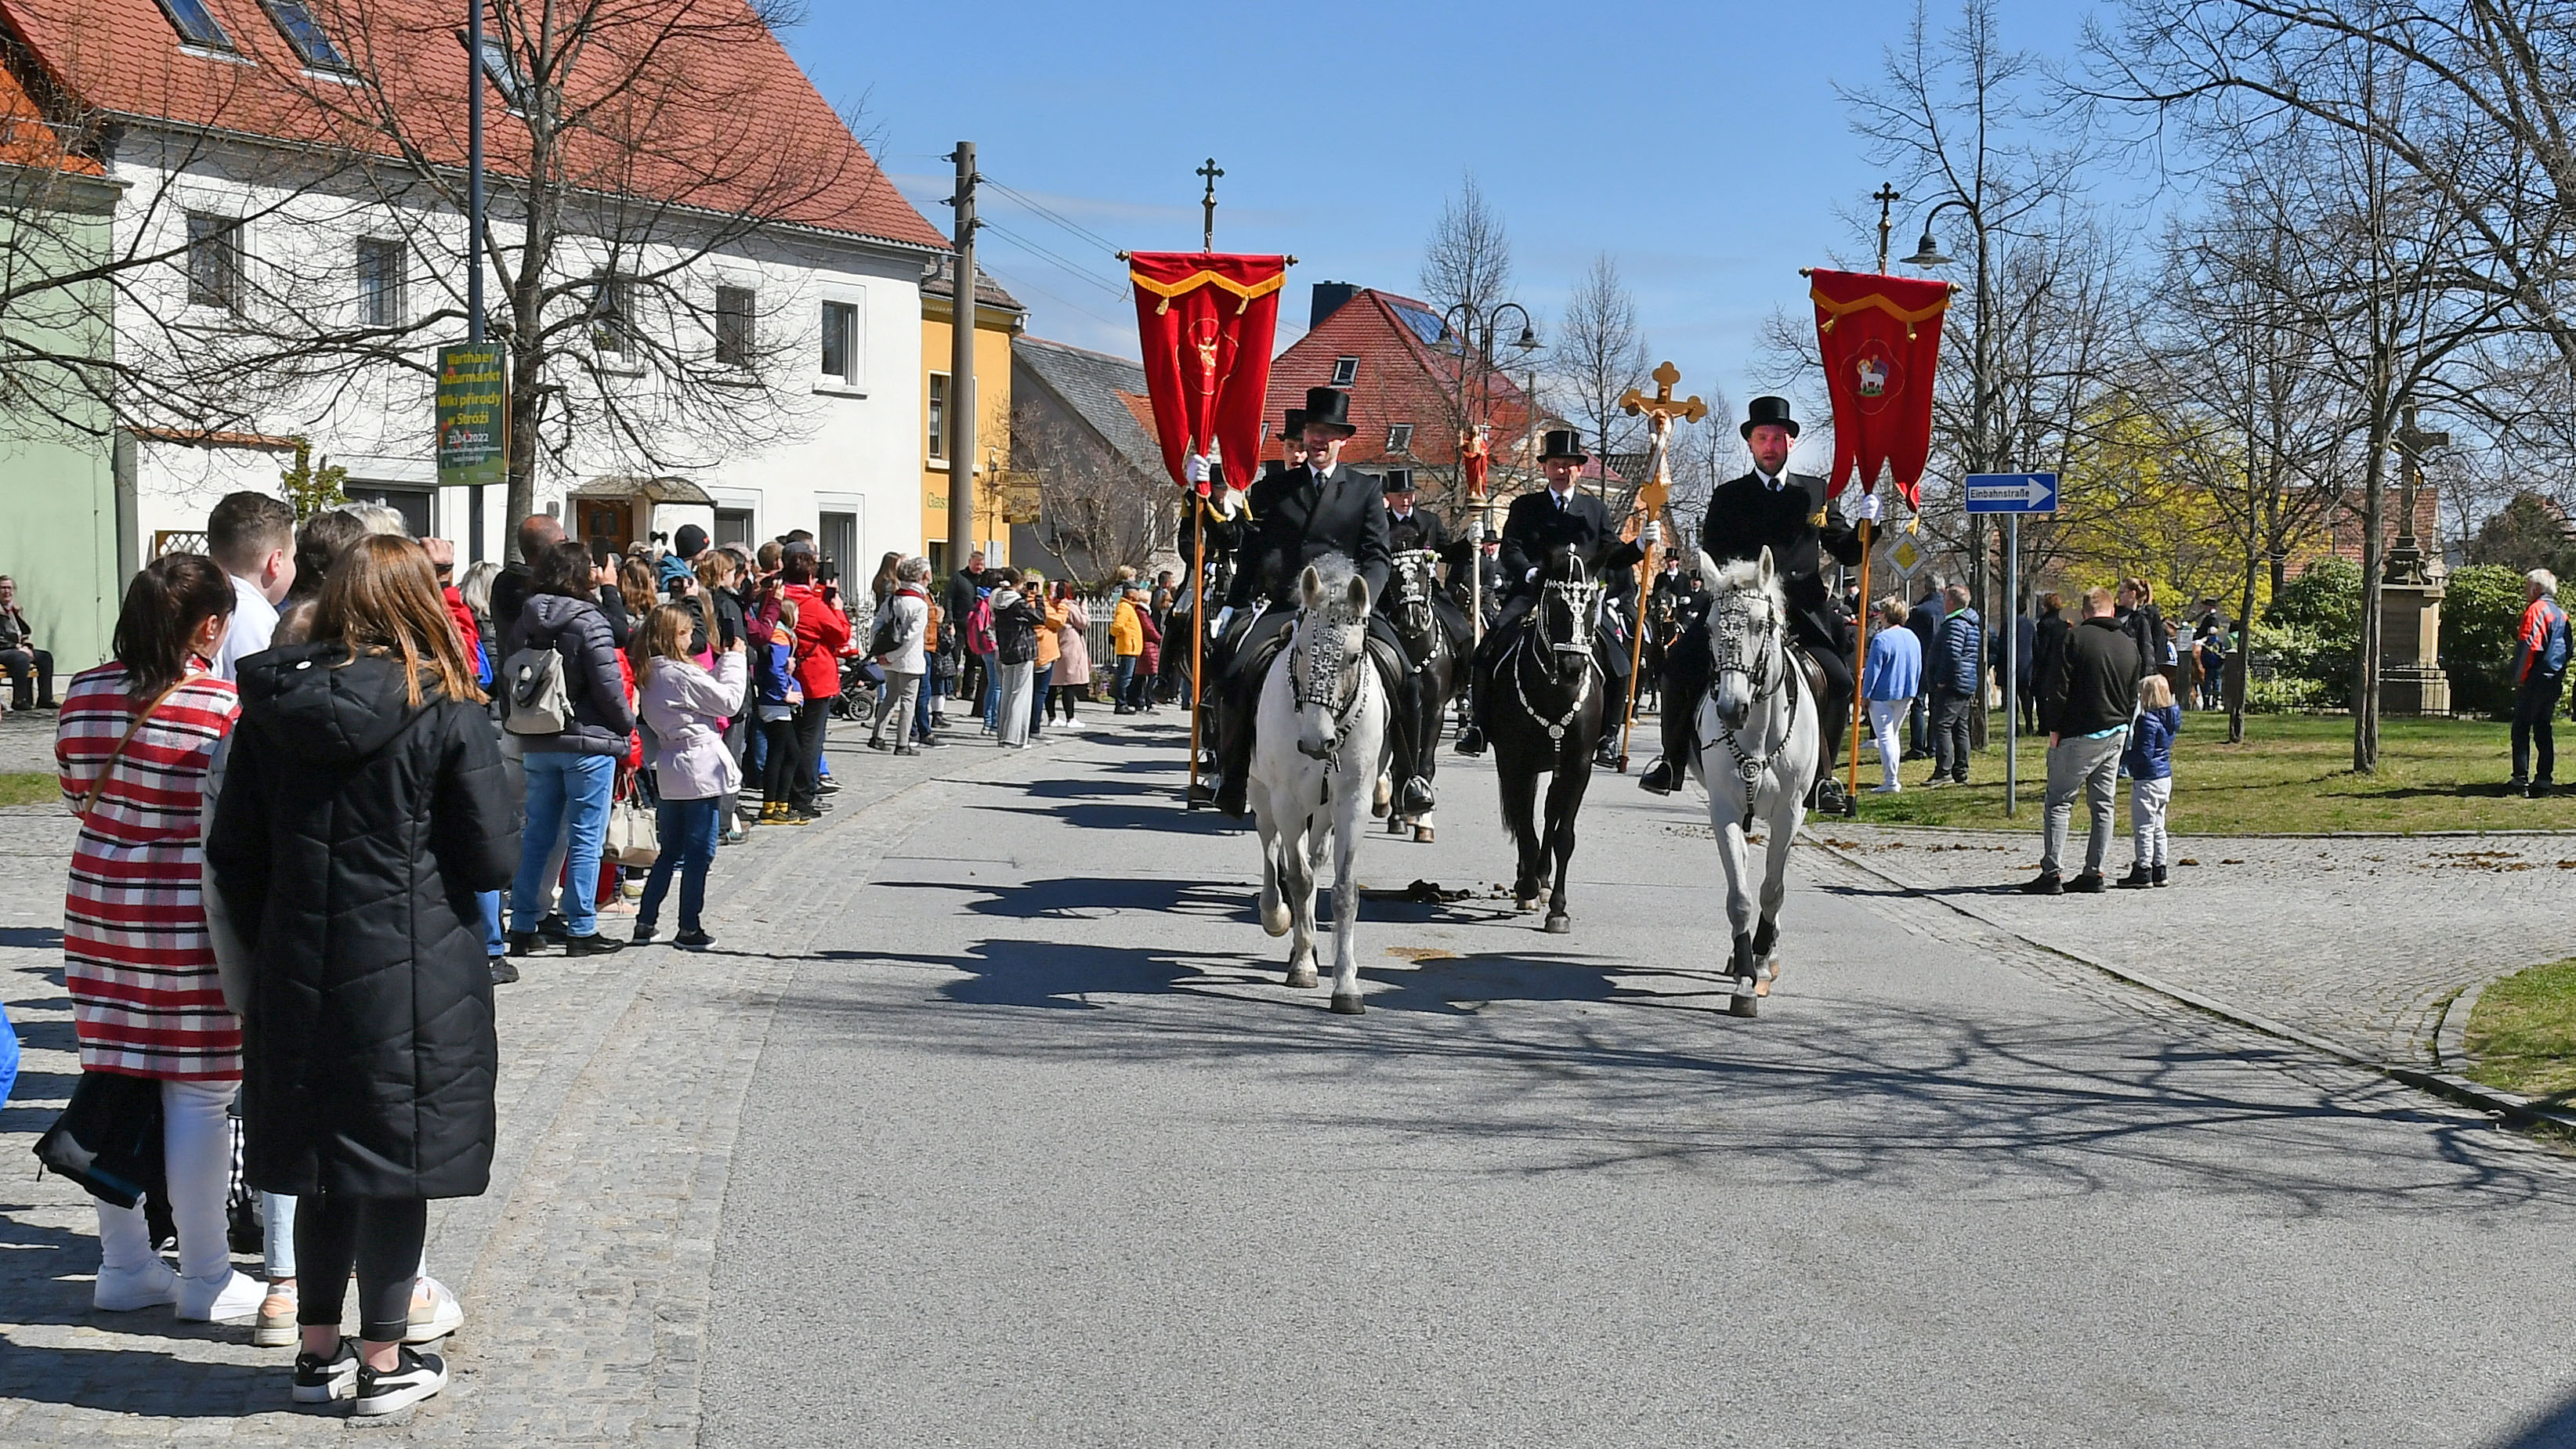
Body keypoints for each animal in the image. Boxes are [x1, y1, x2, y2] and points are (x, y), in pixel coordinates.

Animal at [1250, 557, 1392, 1015]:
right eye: (1300, 650)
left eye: (1353, 656)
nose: (1316, 743)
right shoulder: (1287, 801)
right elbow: (1297, 879)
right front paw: (1303, 966)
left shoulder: (1354, 802)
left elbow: (1343, 890)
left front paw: (1345, 984)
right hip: (1261, 793)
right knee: (1271, 845)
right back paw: (1278, 918)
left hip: (1325, 810)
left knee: (1314, 858)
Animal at [1383, 547, 1460, 844]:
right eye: (1394, 573)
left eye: (1423, 571)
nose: (1412, 618)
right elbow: (1400, 764)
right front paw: (1398, 816)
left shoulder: (1434, 708)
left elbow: (1424, 764)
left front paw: (1424, 821)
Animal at [1484, 550, 1610, 934]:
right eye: (1555, 603)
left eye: (1590, 604)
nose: (1572, 666)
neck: (1554, 692)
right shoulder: (1513, 763)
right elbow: (1524, 823)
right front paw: (1526, 887)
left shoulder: (1577, 766)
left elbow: (1563, 835)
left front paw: (1558, 909)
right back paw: (1528, 881)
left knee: (1550, 813)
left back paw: (1541, 879)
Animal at [1684, 547, 1819, 1019]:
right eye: (1709, 627)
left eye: (1761, 625)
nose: (1730, 709)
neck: (1758, 734)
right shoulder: (1723, 810)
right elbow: (1741, 895)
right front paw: (1744, 977)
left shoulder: (1790, 813)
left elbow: (1773, 889)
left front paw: (1761, 960)